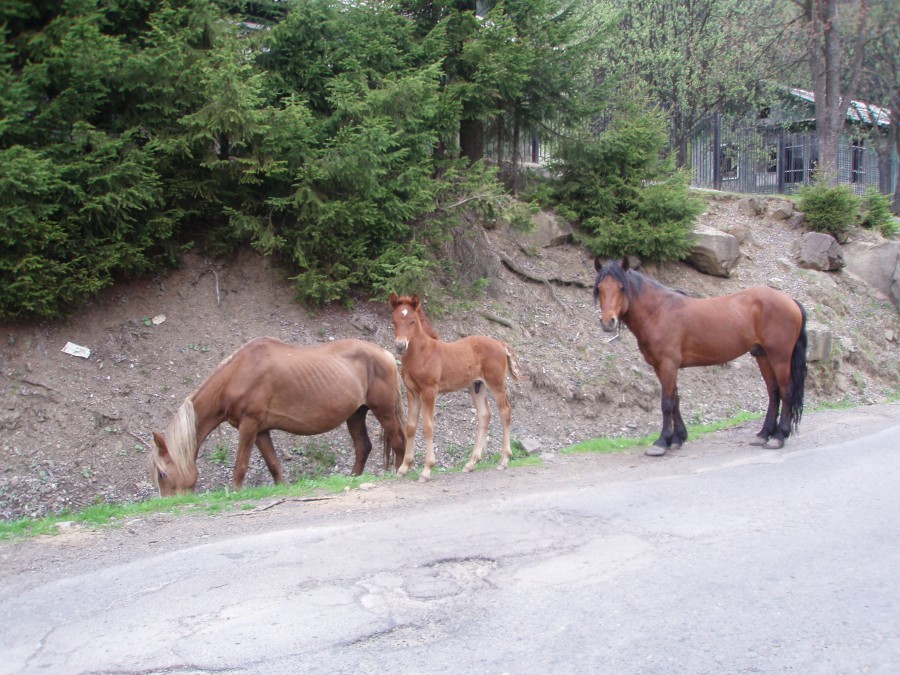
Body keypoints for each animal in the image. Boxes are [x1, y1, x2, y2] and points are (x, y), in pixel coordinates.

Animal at [150, 338, 404, 496]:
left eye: (162, 474)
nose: (170, 503)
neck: (237, 375)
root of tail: (387, 354)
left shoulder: (249, 425)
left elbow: (241, 465)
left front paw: (236, 493)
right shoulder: (261, 430)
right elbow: (274, 465)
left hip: (383, 411)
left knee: (399, 441)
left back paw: (402, 471)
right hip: (355, 414)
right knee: (363, 447)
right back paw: (351, 479)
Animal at [388, 290, 528, 480]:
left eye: (412, 321)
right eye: (394, 320)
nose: (401, 345)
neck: (423, 354)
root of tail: (500, 343)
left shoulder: (429, 391)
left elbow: (427, 426)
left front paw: (427, 469)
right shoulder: (412, 392)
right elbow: (410, 427)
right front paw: (403, 468)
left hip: (496, 384)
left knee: (505, 411)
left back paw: (504, 460)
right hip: (477, 386)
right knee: (485, 414)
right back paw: (471, 463)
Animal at [596, 256, 804, 456]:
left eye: (622, 287)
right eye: (599, 289)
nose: (608, 322)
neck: (658, 312)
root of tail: (791, 301)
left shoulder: (668, 364)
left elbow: (667, 403)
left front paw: (662, 442)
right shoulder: (660, 366)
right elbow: (675, 400)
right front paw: (678, 438)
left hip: (779, 357)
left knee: (786, 391)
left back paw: (778, 436)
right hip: (762, 355)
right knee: (773, 392)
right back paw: (763, 434)